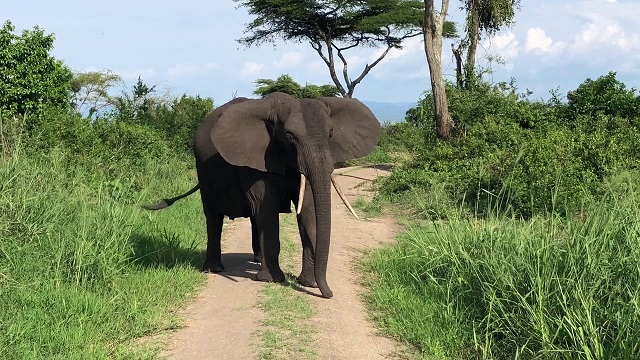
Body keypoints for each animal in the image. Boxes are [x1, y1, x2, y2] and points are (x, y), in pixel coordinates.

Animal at [142, 93, 380, 298]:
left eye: (331, 134)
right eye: (289, 136)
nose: (328, 293)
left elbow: (308, 209)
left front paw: (308, 283)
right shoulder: (255, 157)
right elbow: (267, 207)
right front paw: (272, 280)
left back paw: (256, 260)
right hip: (203, 172)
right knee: (214, 218)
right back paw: (214, 269)